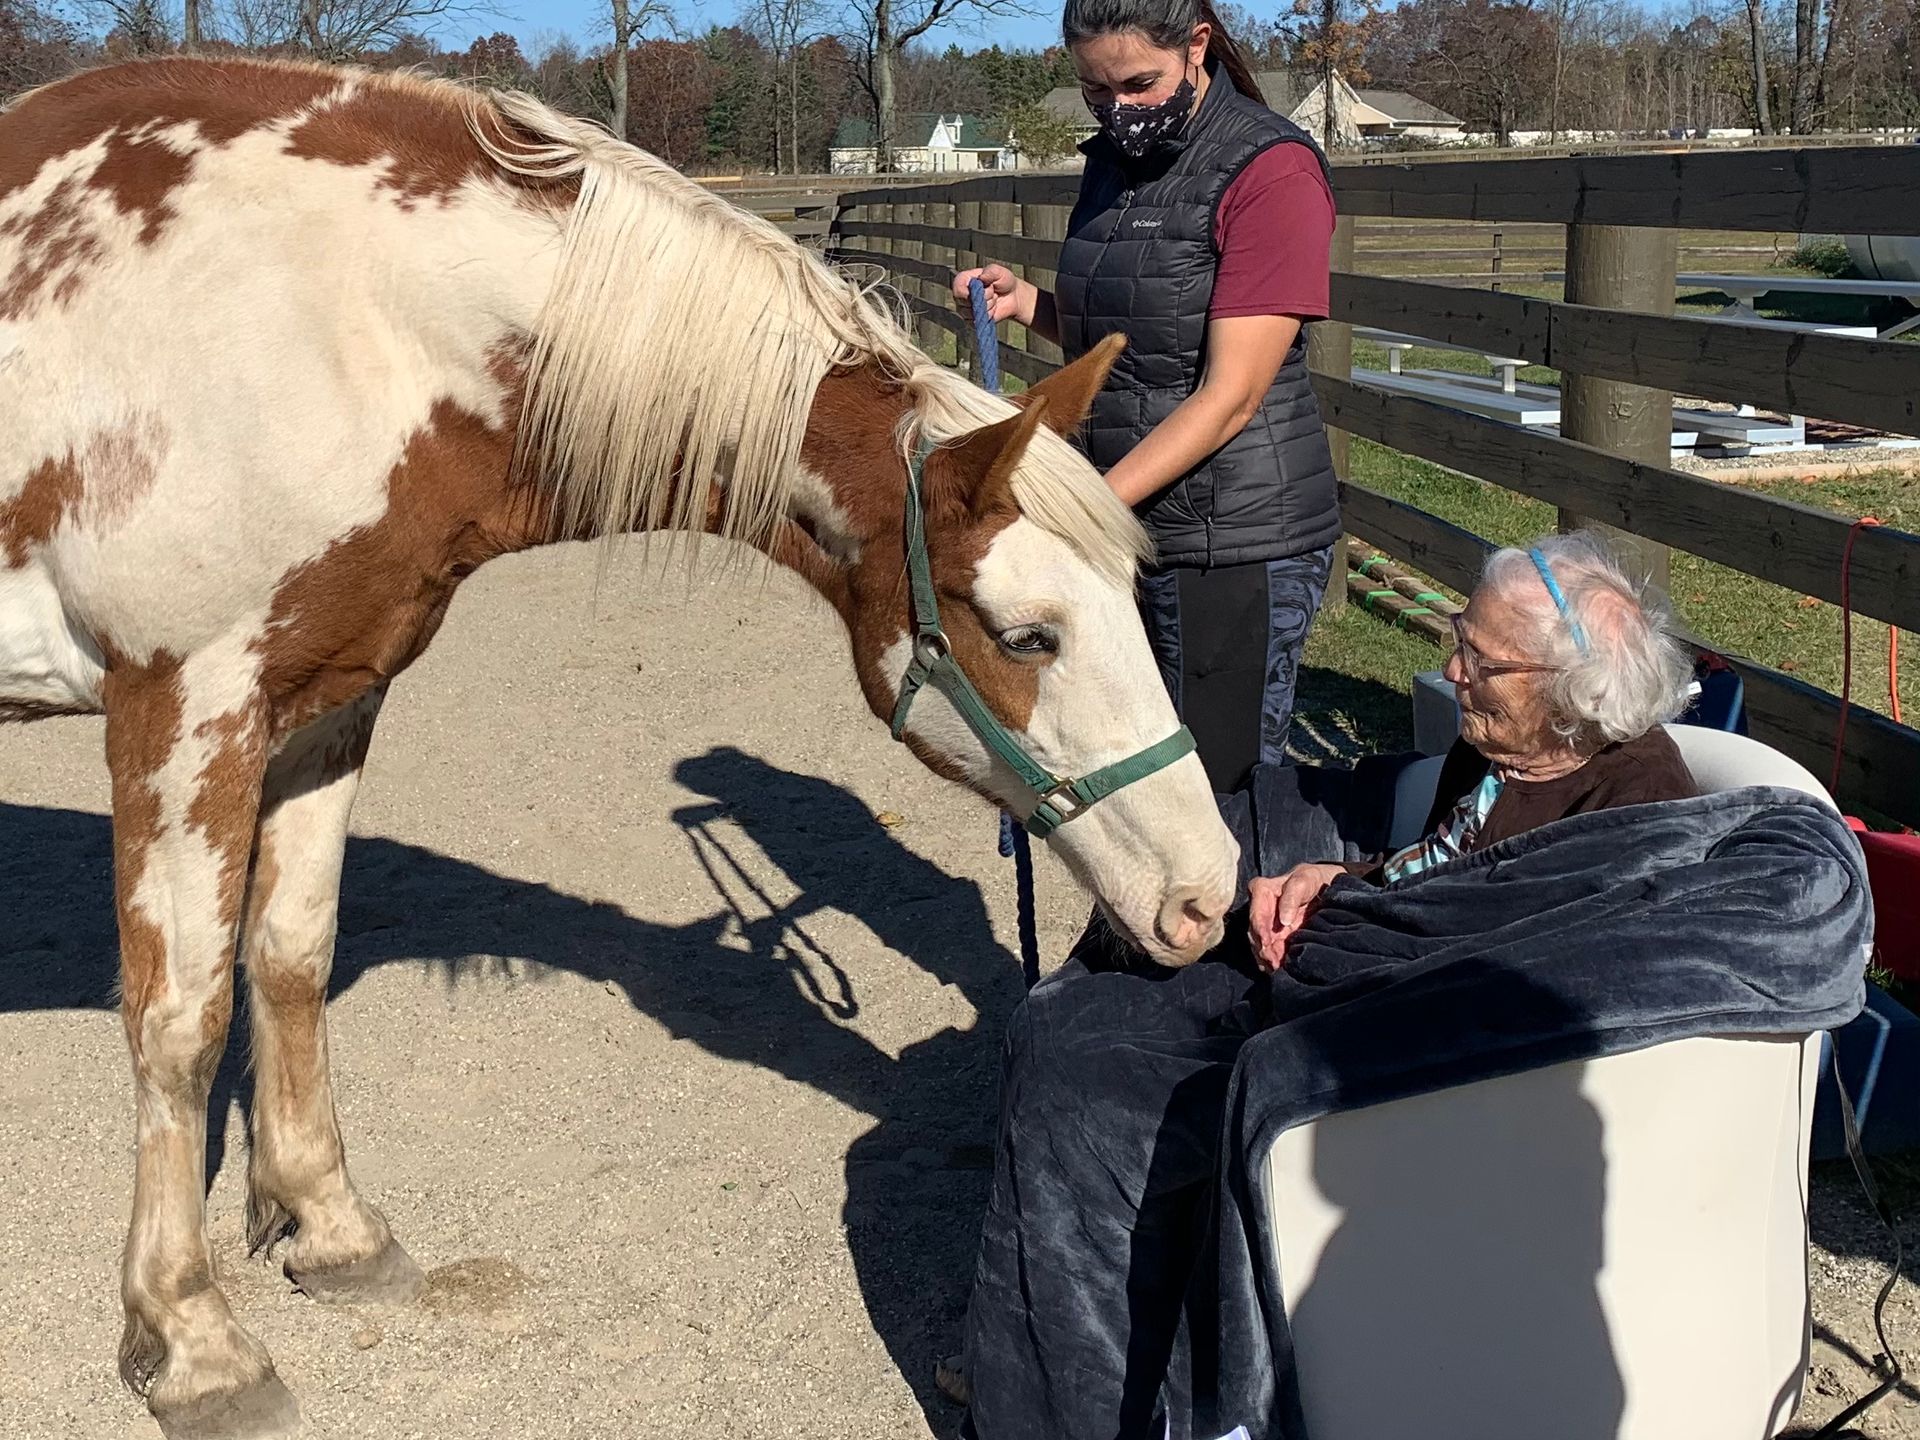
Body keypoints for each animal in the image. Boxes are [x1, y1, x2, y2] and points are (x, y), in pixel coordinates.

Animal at [0, 55, 1239, 1439]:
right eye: (1029, 637)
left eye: (1133, 591)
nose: (1208, 895)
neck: (324, 310)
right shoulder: (183, 703)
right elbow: (180, 1021)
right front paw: (191, 1337)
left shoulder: (326, 699)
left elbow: (290, 959)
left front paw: (328, 1227)